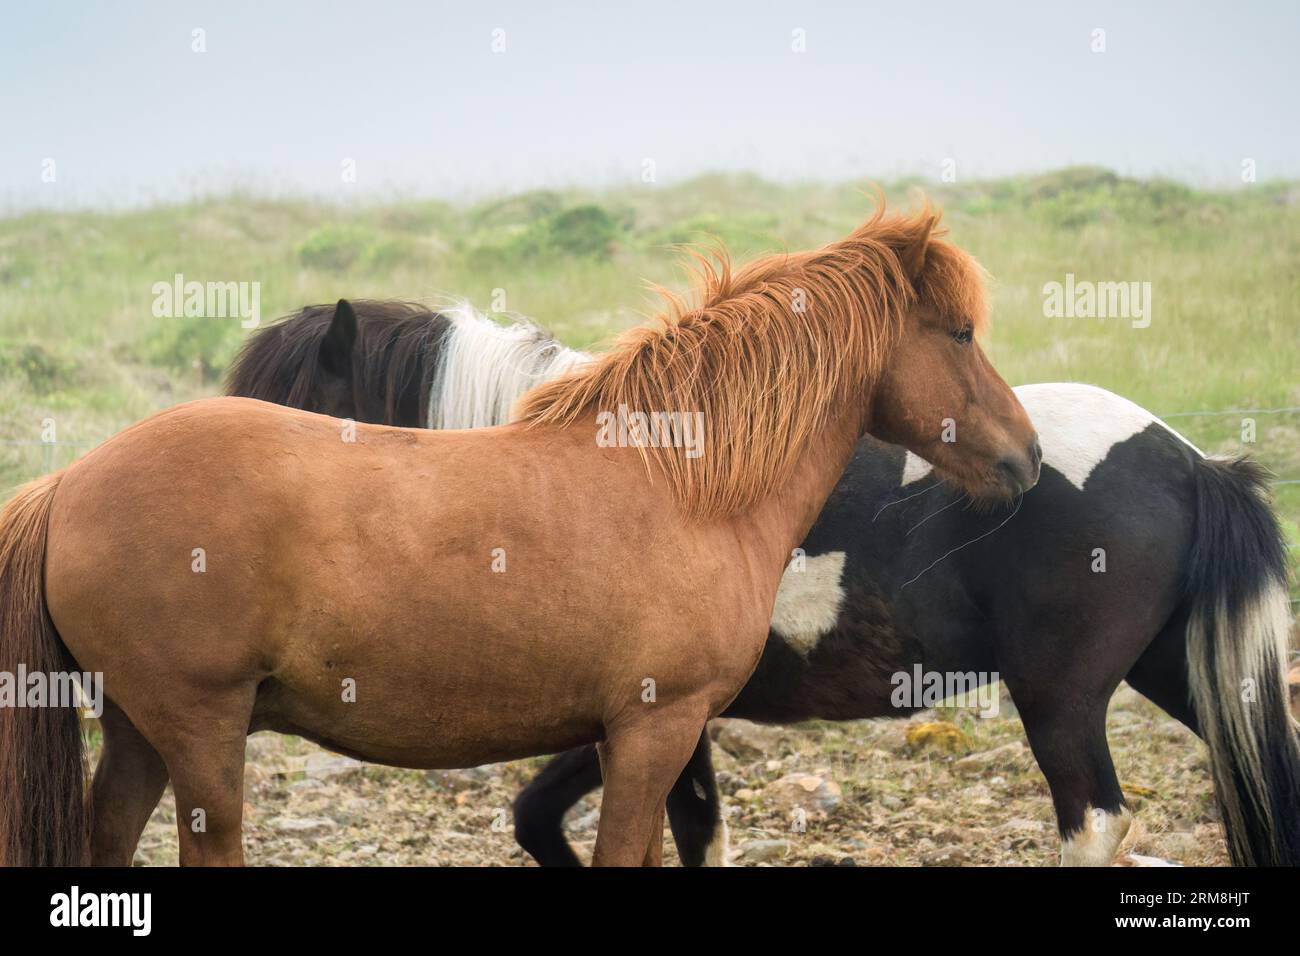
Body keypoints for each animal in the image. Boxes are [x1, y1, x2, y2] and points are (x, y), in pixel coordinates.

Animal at [0, 204, 1041, 866]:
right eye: (958, 333)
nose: (1025, 456)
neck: (683, 481)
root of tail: (67, 485)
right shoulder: (656, 731)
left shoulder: (645, 739)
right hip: (201, 735)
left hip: (138, 733)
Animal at [228, 298, 1300, 868]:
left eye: (291, 420)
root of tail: (1188, 460)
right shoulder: (655, 719)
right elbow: (653, 827)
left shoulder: (645, 714)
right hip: (1174, 672)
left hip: (1061, 698)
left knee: (1094, 822)